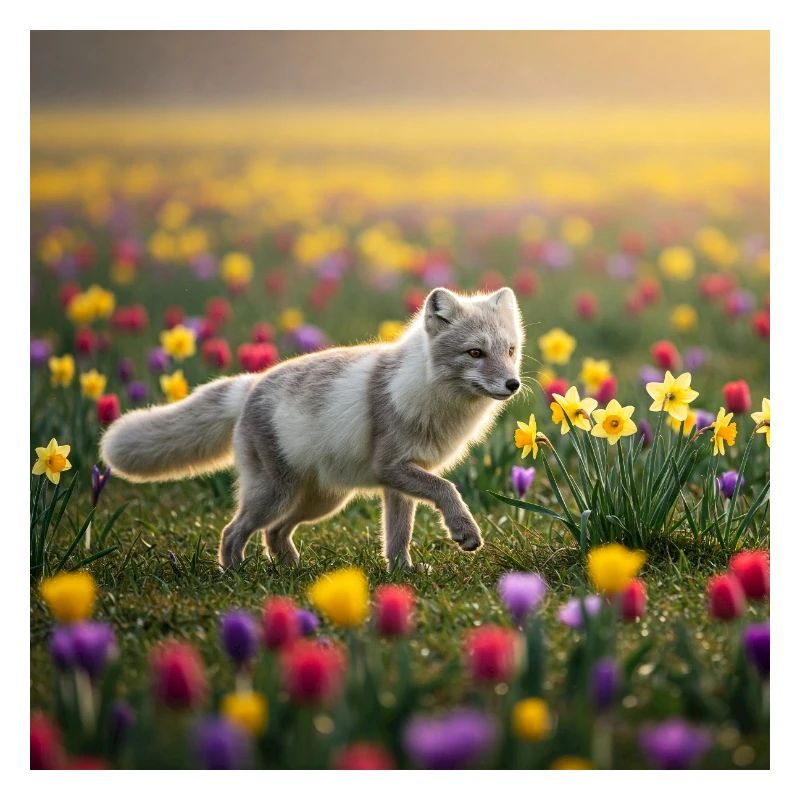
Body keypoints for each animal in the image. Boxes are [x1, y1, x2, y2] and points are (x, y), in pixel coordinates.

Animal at [100, 287, 525, 572]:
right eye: (474, 353)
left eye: (509, 351)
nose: (513, 384)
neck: (427, 389)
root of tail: (252, 384)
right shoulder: (393, 468)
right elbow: (447, 489)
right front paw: (464, 531)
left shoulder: (397, 483)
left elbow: (397, 536)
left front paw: (402, 573)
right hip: (275, 495)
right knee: (233, 532)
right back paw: (235, 574)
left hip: (322, 501)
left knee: (274, 533)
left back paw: (290, 570)